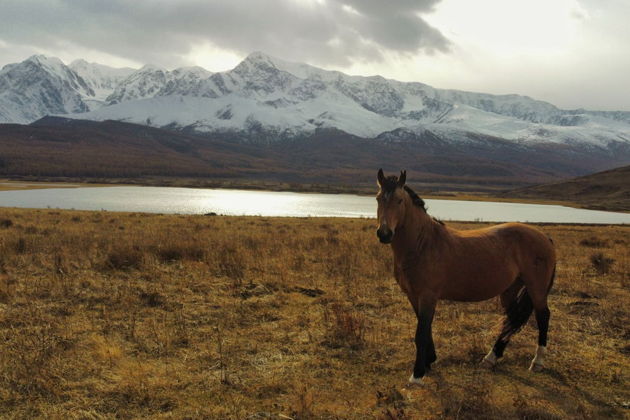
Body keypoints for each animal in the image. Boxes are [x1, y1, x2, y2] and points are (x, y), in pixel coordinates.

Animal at [376, 170, 556, 384]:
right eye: (378, 198)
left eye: (400, 200)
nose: (384, 234)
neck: (423, 244)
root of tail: (544, 237)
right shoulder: (413, 295)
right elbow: (425, 328)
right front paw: (429, 362)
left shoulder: (428, 296)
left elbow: (421, 332)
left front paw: (417, 374)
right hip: (510, 289)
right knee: (511, 318)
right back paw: (491, 357)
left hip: (536, 288)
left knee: (543, 317)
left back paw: (537, 362)